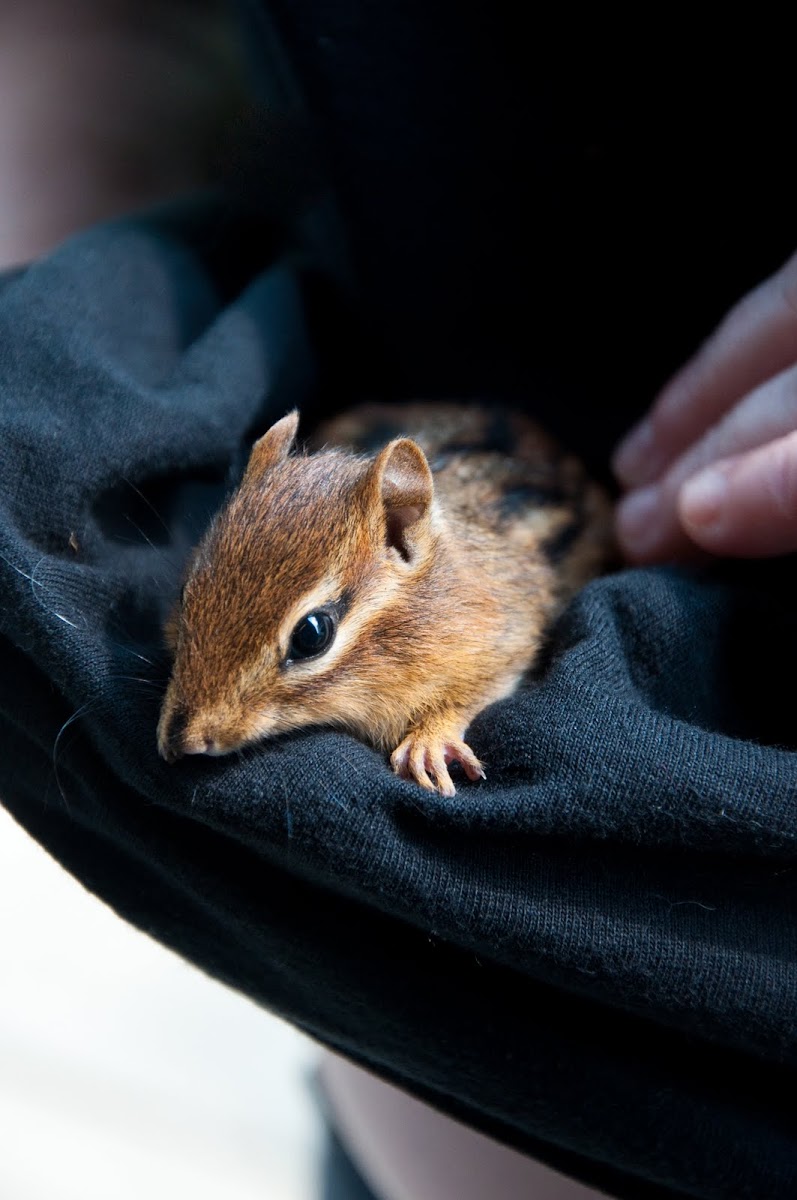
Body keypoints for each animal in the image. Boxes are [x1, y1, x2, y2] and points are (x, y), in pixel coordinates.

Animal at [157, 403, 614, 796]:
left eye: (312, 635)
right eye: (185, 593)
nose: (182, 741)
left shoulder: (509, 638)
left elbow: (474, 692)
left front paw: (430, 741)